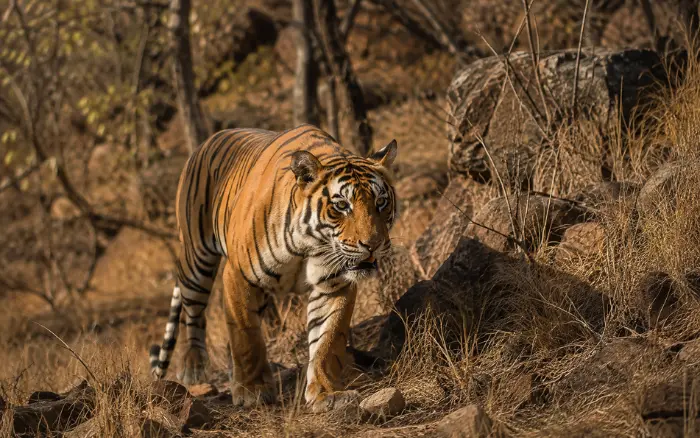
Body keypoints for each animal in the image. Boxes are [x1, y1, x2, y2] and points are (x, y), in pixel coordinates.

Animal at [149, 124, 398, 412]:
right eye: (341, 205)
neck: (310, 243)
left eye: (381, 202)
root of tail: (206, 142)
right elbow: (246, 336)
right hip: (196, 259)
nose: (373, 244)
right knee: (193, 312)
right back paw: (194, 369)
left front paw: (326, 394)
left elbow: (328, 339)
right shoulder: (238, 275)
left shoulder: (334, 283)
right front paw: (252, 391)